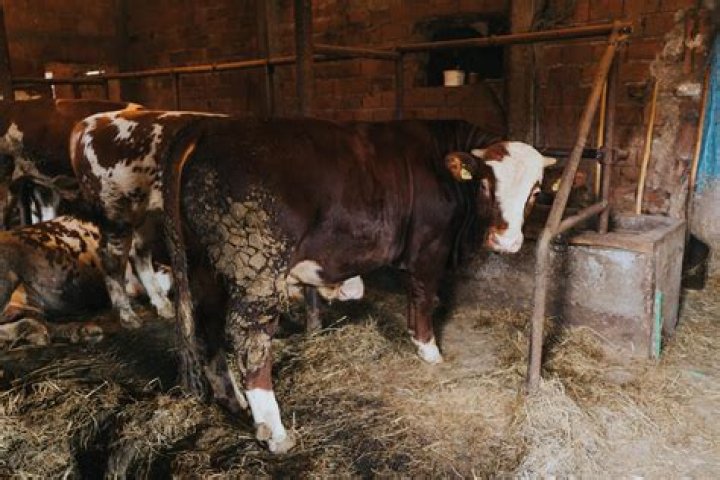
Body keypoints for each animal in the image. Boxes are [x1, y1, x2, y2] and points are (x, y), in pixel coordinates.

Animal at [70, 109, 227, 328]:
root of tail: (87, 123)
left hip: (148, 213)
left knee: (139, 252)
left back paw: (163, 305)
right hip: (115, 211)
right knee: (112, 258)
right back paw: (128, 316)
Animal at [160, 117, 556, 453]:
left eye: (536, 192)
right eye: (487, 184)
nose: (507, 242)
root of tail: (208, 128)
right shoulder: (429, 247)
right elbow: (423, 296)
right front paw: (429, 350)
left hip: (206, 266)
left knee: (209, 325)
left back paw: (234, 401)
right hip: (257, 271)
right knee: (250, 340)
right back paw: (275, 433)